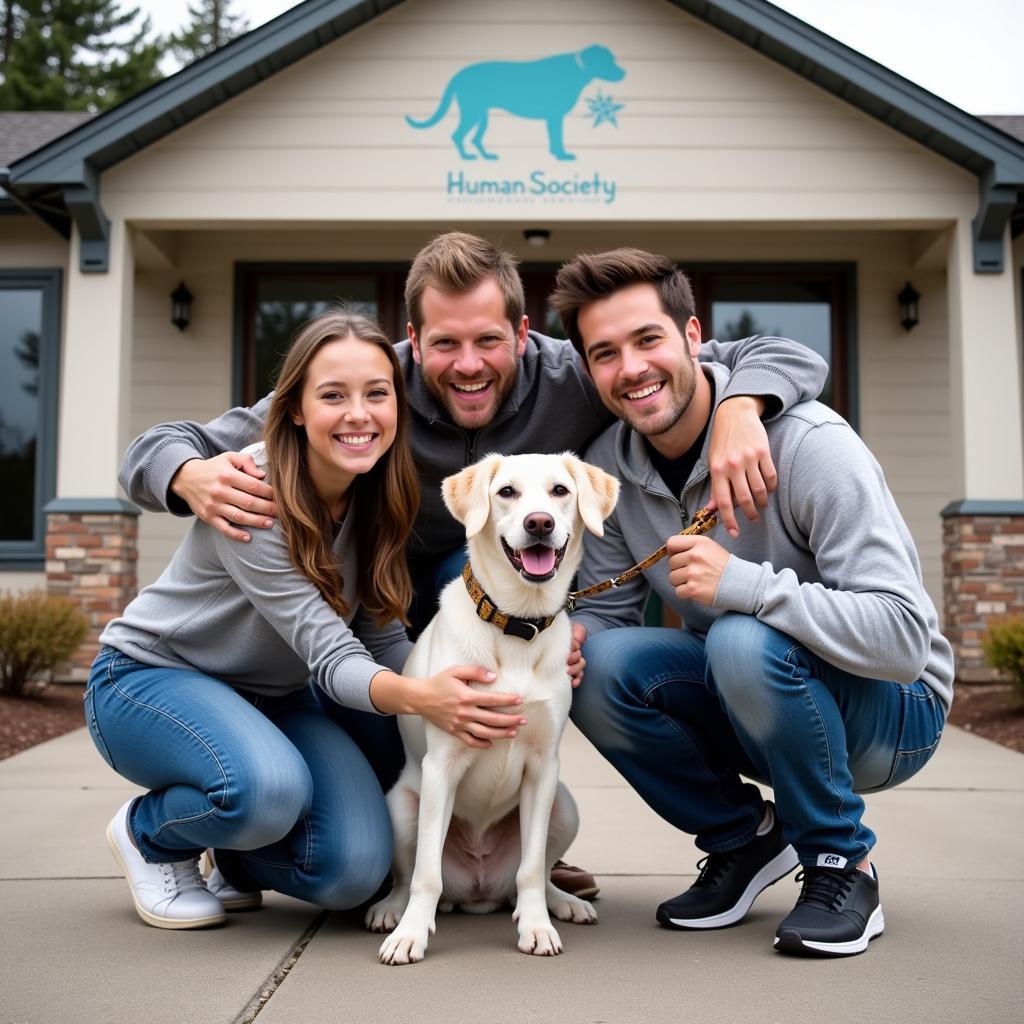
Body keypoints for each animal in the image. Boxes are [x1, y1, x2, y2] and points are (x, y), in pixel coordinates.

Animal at [368, 452, 614, 962]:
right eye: (506, 492)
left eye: (560, 491)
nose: (539, 523)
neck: (518, 622)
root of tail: (478, 891)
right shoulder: (442, 765)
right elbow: (425, 874)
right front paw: (410, 935)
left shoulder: (543, 767)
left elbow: (531, 868)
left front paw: (536, 927)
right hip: (401, 807)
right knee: (408, 876)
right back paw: (391, 911)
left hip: (564, 806)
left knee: (534, 872)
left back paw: (562, 902)